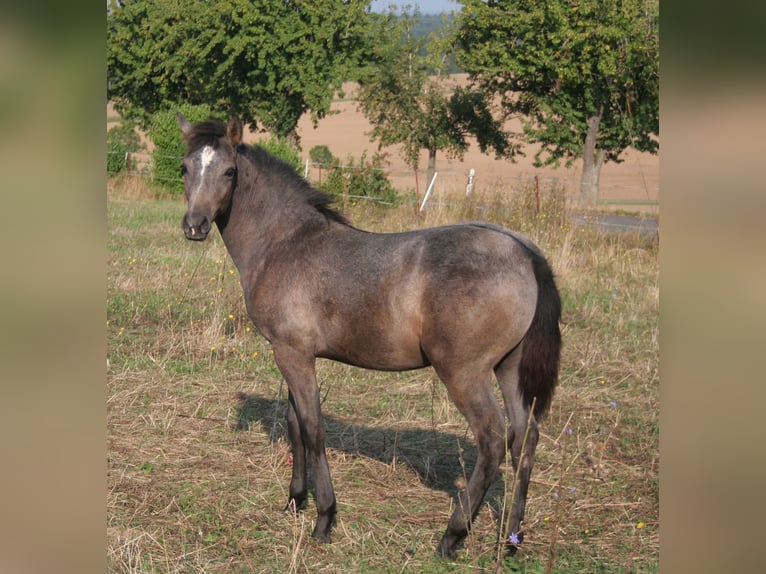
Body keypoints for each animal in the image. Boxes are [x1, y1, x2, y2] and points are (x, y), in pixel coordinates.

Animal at [180, 115, 564, 560]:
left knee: (492, 440)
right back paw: (510, 540)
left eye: (229, 171)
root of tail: (523, 251)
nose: (195, 225)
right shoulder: (292, 352)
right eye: (185, 168)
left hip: (464, 372)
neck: (286, 243)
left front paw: (324, 519)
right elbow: (295, 425)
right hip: (509, 368)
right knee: (525, 439)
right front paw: (294, 501)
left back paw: (452, 536)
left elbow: (313, 428)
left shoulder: (292, 353)